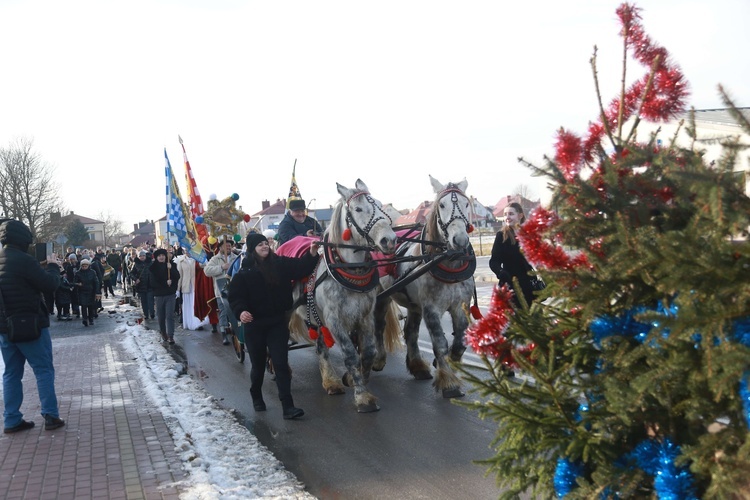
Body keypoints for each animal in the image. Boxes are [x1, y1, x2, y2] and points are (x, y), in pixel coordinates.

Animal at [290, 178, 402, 412]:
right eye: (358, 209)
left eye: (380, 205)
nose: (389, 240)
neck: (349, 270)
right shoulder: (335, 320)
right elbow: (350, 354)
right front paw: (362, 397)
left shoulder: (365, 316)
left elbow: (367, 352)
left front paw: (355, 379)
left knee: (321, 345)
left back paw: (330, 381)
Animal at [374, 176, 476, 398]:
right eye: (442, 205)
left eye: (466, 204)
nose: (460, 240)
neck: (448, 261)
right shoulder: (431, 309)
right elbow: (440, 343)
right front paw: (449, 383)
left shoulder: (460, 306)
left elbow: (459, 342)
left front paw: (449, 363)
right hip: (381, 296)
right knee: (378, 326)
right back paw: (378, 359)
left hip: (414, 305)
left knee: (411, 331)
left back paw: (418, 366)